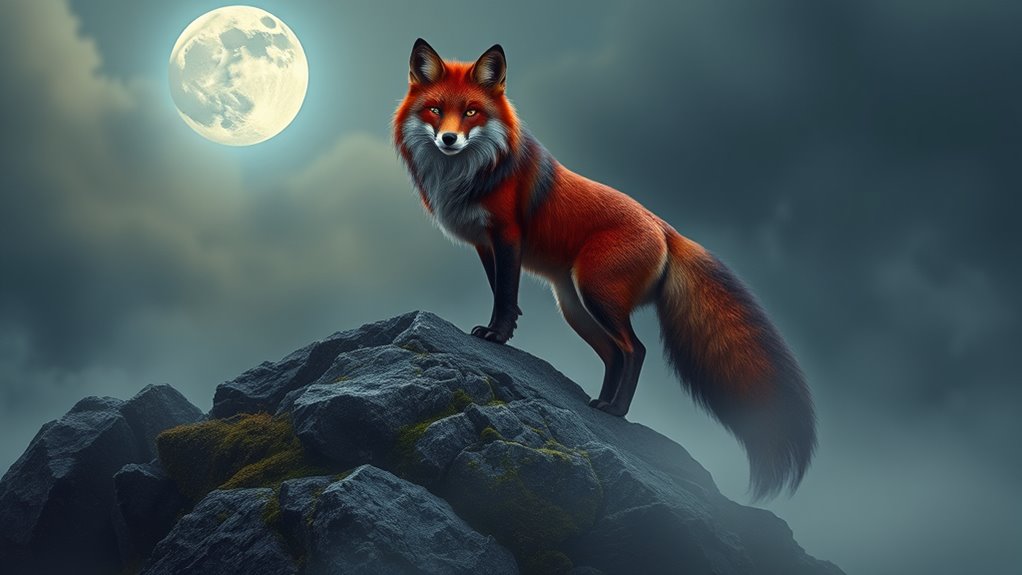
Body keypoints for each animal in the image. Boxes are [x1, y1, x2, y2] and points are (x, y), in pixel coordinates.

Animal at [393, 39, 816, 500]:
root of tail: (665, 228)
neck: (470, 171)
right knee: (615, 354)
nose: (449, 139)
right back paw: (601, 405)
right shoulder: (485, 246)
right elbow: (501, 292)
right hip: (576, 308)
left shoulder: (507, 236)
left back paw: (615, 411)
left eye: (471, 111)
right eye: (436, 110)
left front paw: (497, 335)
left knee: (636, 350)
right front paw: (501, 330)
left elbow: (505, 295)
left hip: (595, 294)